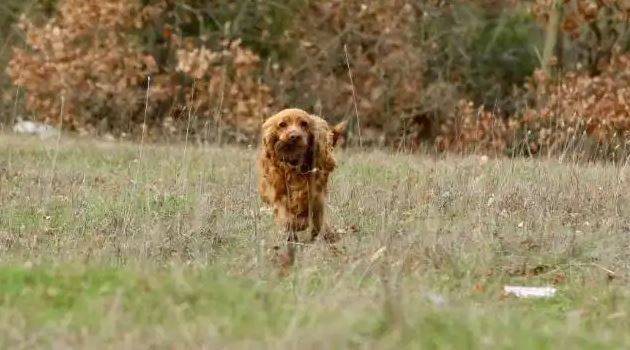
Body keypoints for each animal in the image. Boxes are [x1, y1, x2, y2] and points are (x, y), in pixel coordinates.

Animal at [260, 107, 348, 243]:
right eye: (282, 124)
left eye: (304, 124)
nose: (294, 136)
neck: (294, 167)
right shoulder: (279, 195)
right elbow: (286, 216)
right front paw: (293, 226)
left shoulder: (316, 196)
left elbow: (315, 217)